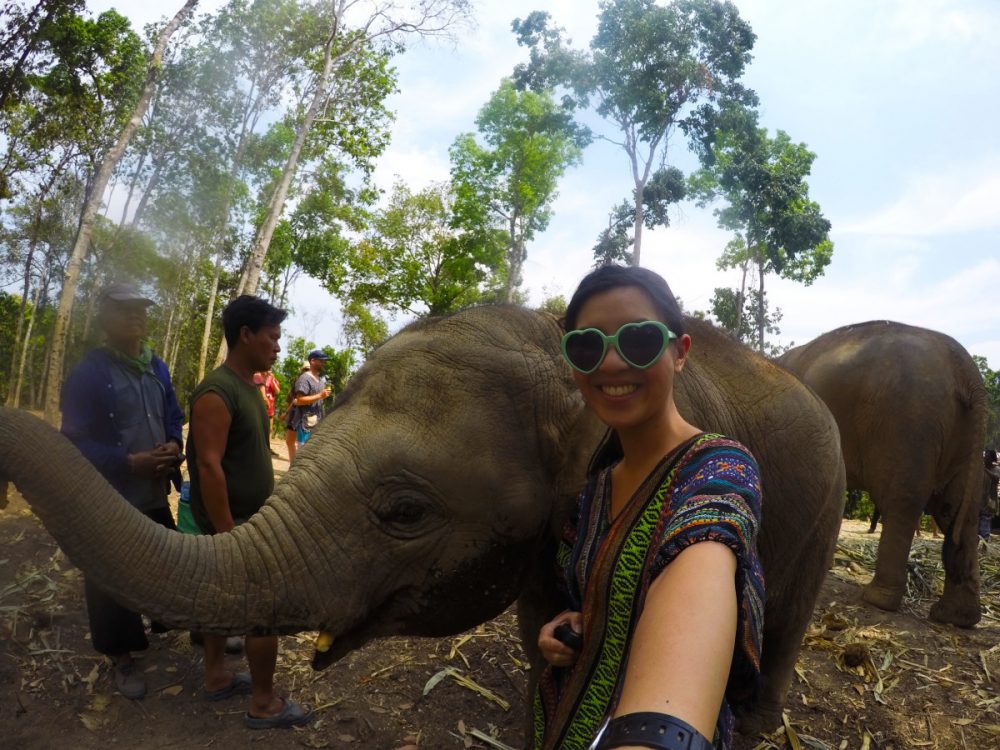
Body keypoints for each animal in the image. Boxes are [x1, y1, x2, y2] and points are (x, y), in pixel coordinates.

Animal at [778, 320, 987, 627]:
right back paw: (955, 617)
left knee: (901, 504)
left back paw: (877, 599)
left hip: (906, 424)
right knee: (958, 512)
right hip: (961, 439)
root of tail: (965, 370)